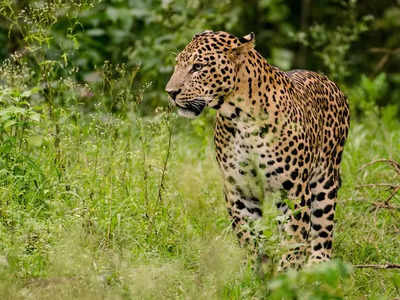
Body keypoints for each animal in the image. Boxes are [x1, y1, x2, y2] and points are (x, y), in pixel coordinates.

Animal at [164, 30, 348, 270]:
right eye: (177, 64)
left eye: (198, 67)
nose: (170, 92)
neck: (240, 118)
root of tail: (329, 81)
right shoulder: (240, 190)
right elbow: (248, 235)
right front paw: (255, 269)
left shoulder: (294, 191)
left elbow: (294, 238)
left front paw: (286, 272)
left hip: (325, 180)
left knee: (322, 229)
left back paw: (318, 265)